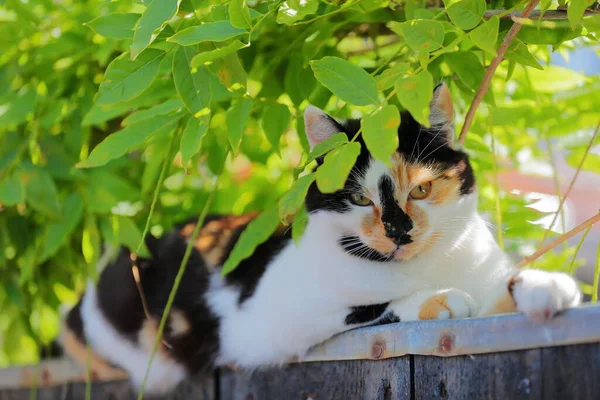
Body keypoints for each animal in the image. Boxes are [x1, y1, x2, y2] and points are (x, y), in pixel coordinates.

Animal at [61, 83, 580, 394]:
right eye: (360, 199)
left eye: (422, 189)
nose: (399, 231)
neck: (427, 265)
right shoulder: (262, 324)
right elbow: (369, 309)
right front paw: (438, 299)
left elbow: (503, 290)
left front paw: (546, 285)